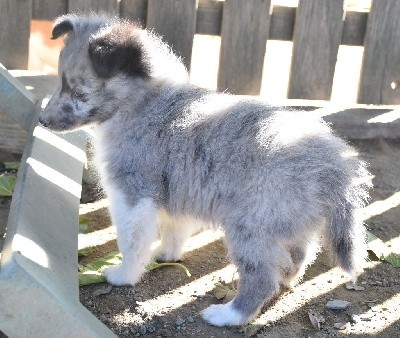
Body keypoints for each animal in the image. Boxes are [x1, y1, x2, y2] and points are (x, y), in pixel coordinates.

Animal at [40, 13, 372, 328]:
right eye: (60, 82)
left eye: (79, 92)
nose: (42, 121)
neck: (144, 102)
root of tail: (336, 164)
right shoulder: (177, 192)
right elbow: (175, 230)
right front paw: (167, 255)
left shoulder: (134, 195)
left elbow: (131, 242)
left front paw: (124, 275)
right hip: (289, 223)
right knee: (297, 257)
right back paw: (285, 281)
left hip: (250, 227)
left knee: (261, 277)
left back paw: (229, 315)